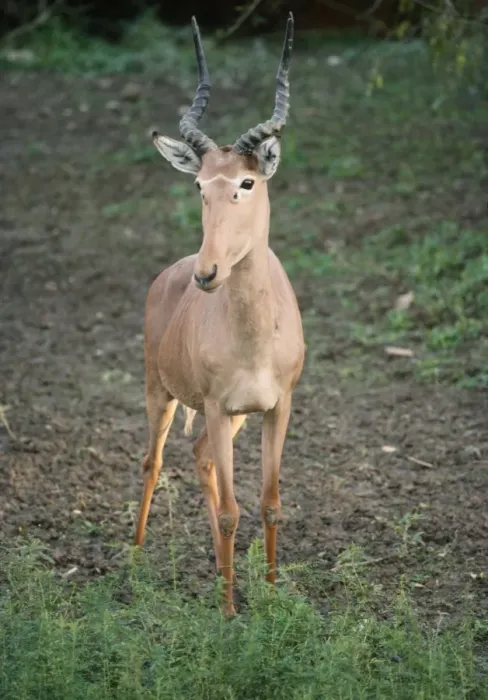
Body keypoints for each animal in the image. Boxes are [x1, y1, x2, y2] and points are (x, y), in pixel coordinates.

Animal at [135, 12, 305, 615]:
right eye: (199, 184)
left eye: (247, 181)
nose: (207, 273)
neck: (253, 337)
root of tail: (169, 272)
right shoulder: (211, 403)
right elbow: (233, 511)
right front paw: (232, 614)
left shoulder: (277, 407)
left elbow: (271, 502)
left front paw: (272, 598)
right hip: (162, 393)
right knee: (155, 461)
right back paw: (134, 561)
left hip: (230, 419)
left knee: (202, 456)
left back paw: (215, 569)